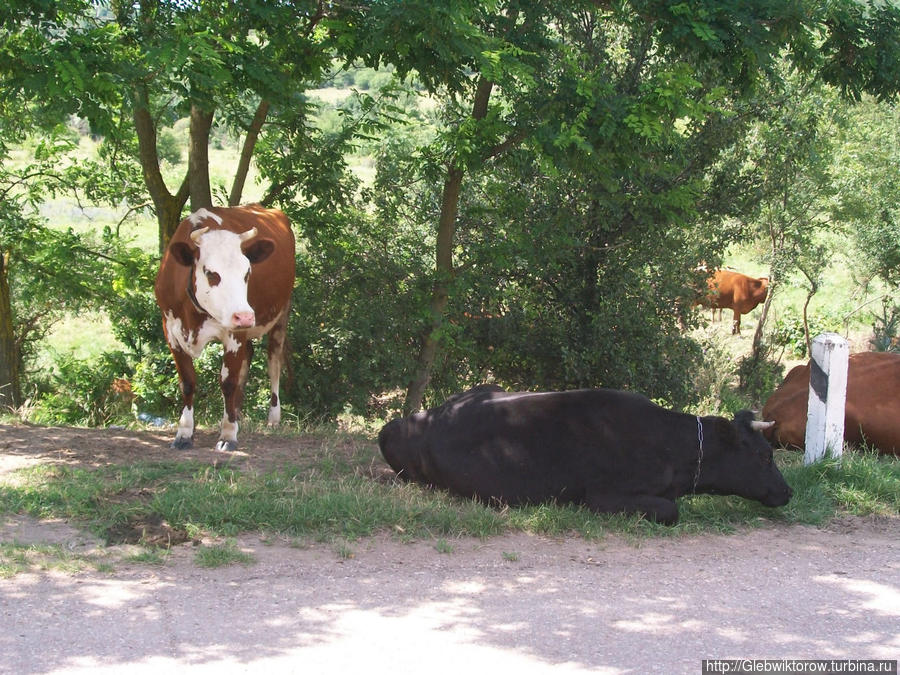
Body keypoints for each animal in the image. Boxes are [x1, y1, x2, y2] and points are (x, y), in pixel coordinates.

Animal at [155, 203, 296, 452]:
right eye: (211, 273)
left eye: (247, 272)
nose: (245, 316)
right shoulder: (171, 331)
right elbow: (187, 383)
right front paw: (184, 433)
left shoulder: (234, 334)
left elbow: (228, 382)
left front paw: (228, 434)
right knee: (248, 357)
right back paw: (236, 412)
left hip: (281, 315)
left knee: (273, 363)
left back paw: (273, 417)